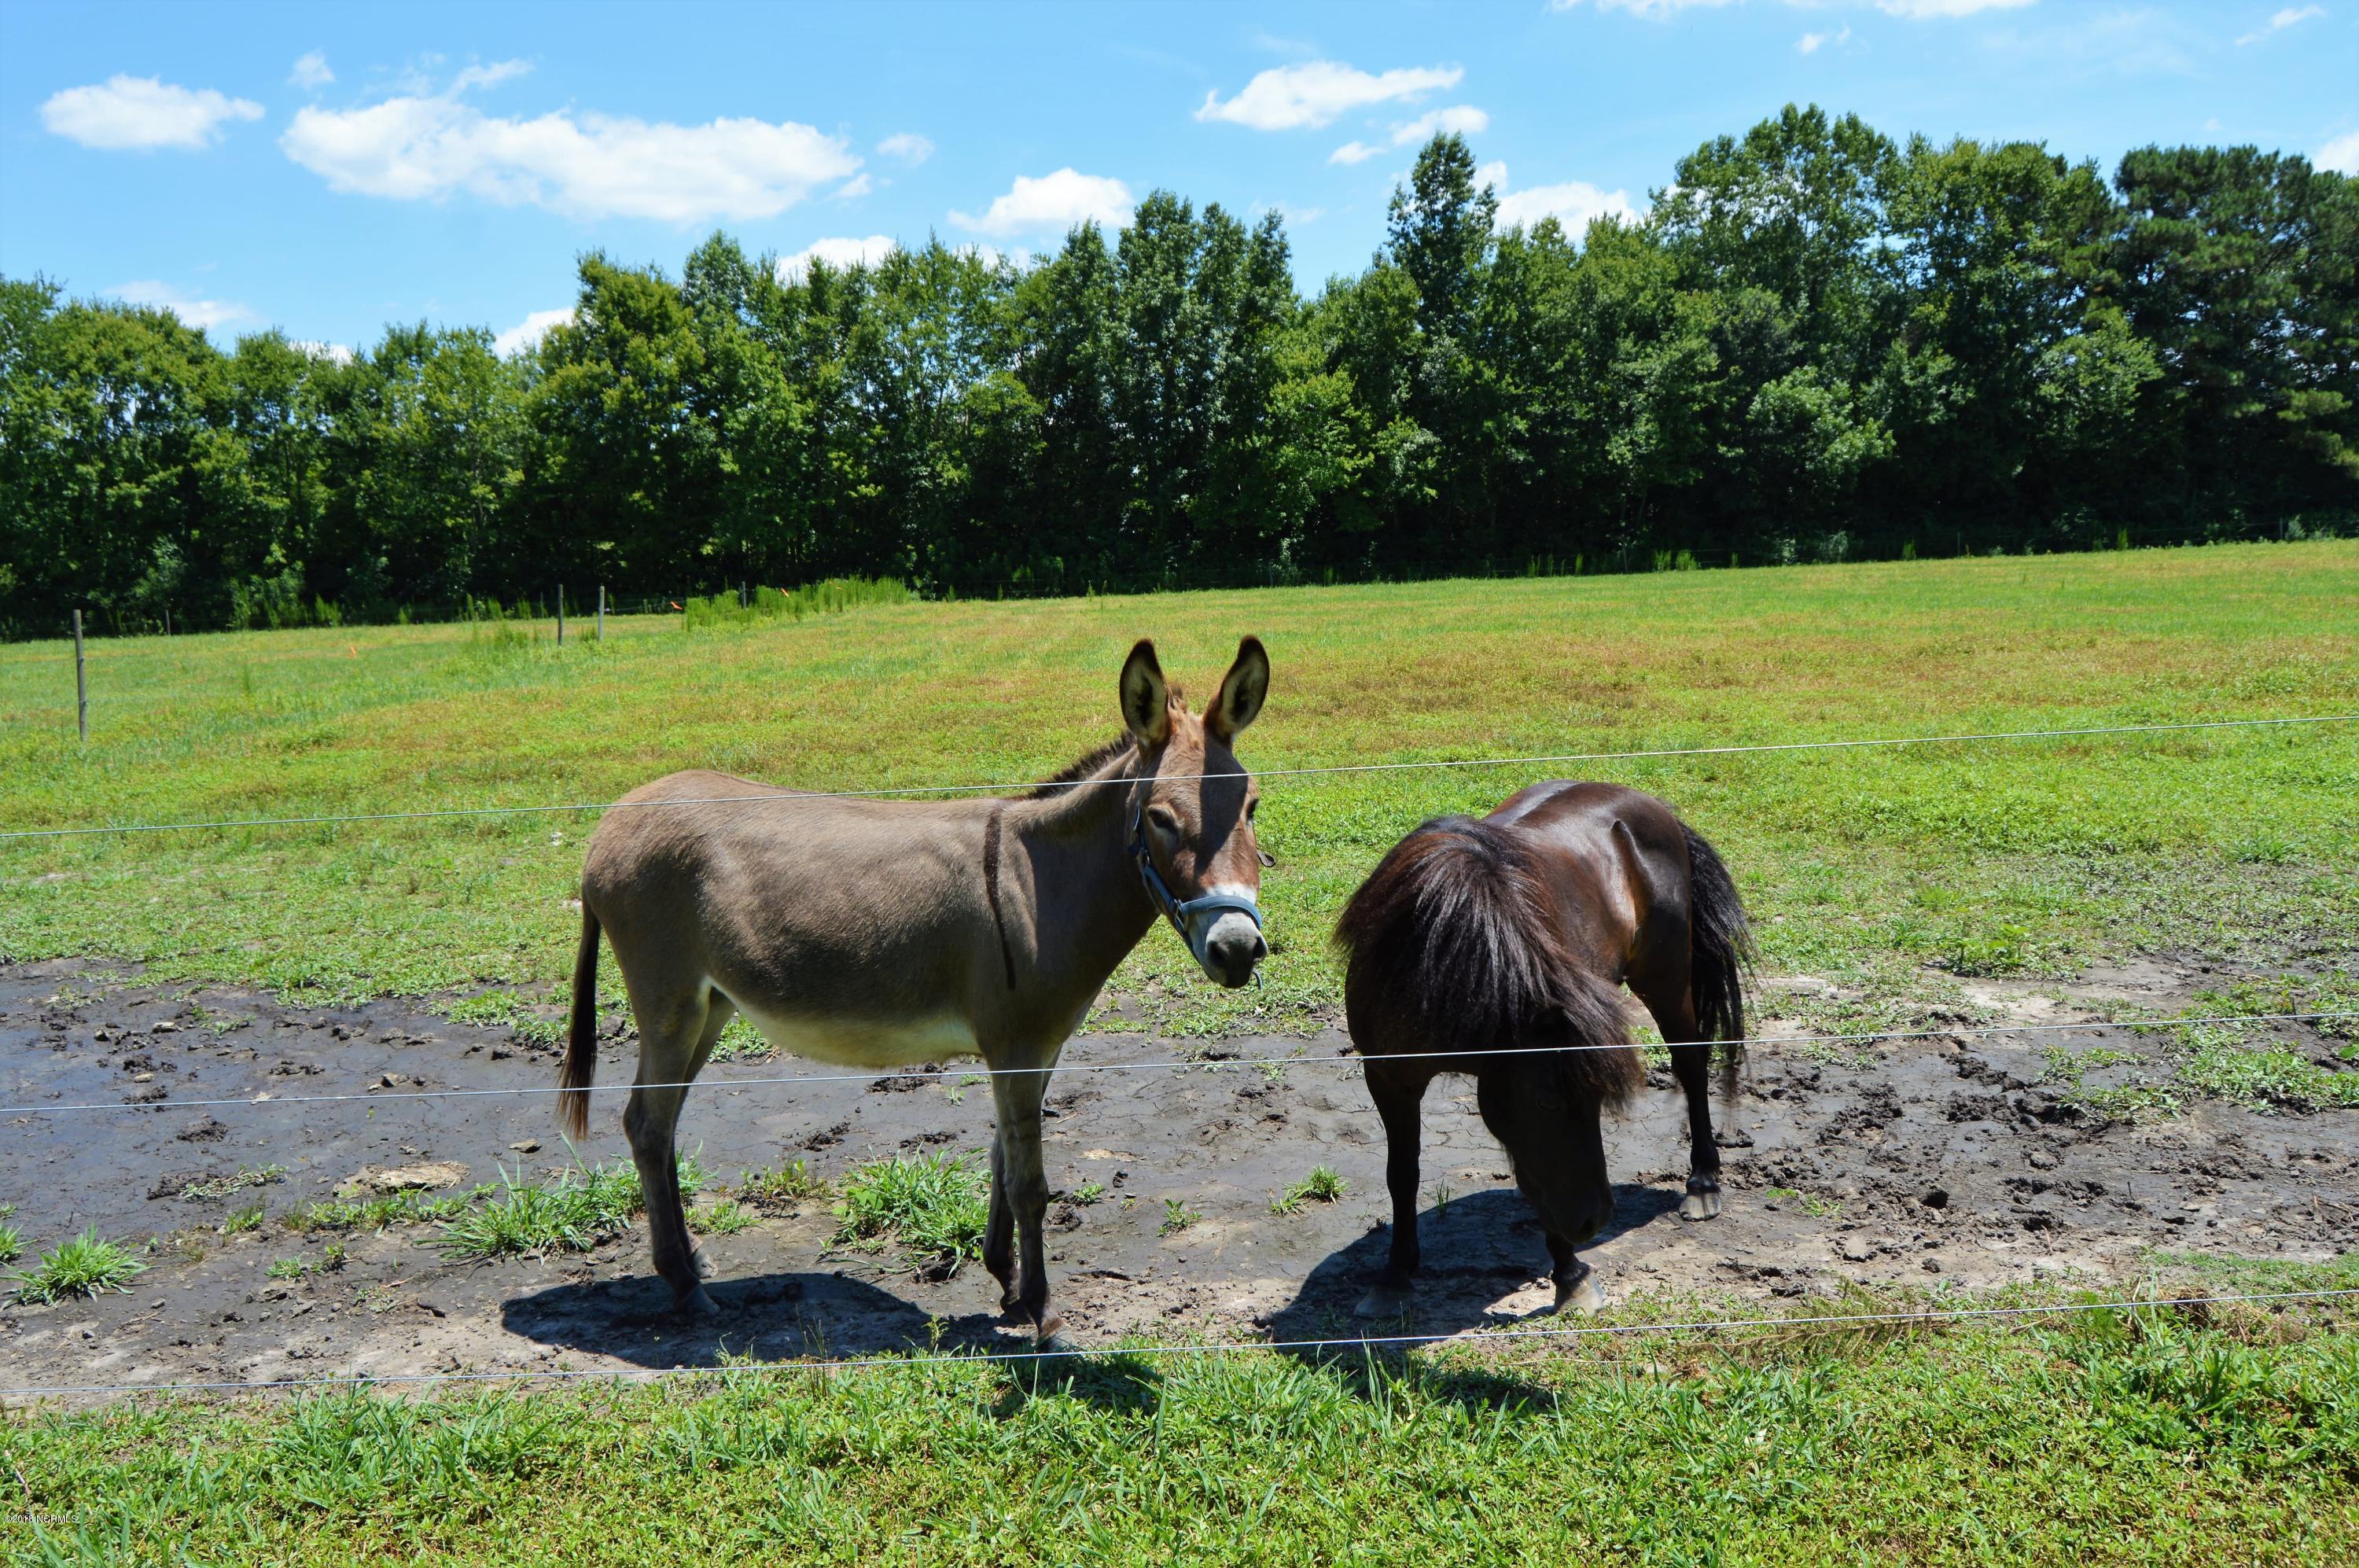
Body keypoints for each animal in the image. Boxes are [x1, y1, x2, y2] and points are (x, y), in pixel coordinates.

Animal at [559, 637, 1271, 1337]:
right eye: (1160, 818)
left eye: (1253, 807)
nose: (1237, 948)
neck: (1040, 880)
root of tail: (608, 823)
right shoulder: (1015, 1046)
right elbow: (1030, 1183)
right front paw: (1042, 1311)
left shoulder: (1039, 1047)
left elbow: (1002, 1158)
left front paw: (1007, 1281)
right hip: (670, 1003)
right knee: (647, 1126)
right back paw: (685, 1286)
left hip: (710, 1007)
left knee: (663, 1124)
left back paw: (690, 1263)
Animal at [1333, 782, 1751, 1318]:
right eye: (1547, 1101)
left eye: (1597, 1102)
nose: (1595, 1221)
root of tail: (1650, 805)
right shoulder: (1389, 1077)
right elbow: (1403, 1174)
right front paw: (1394, 1277)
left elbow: (1541, 1179)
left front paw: (1571, 1276)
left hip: (1666, 976)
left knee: (1691, 1065)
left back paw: (1703, 1184)